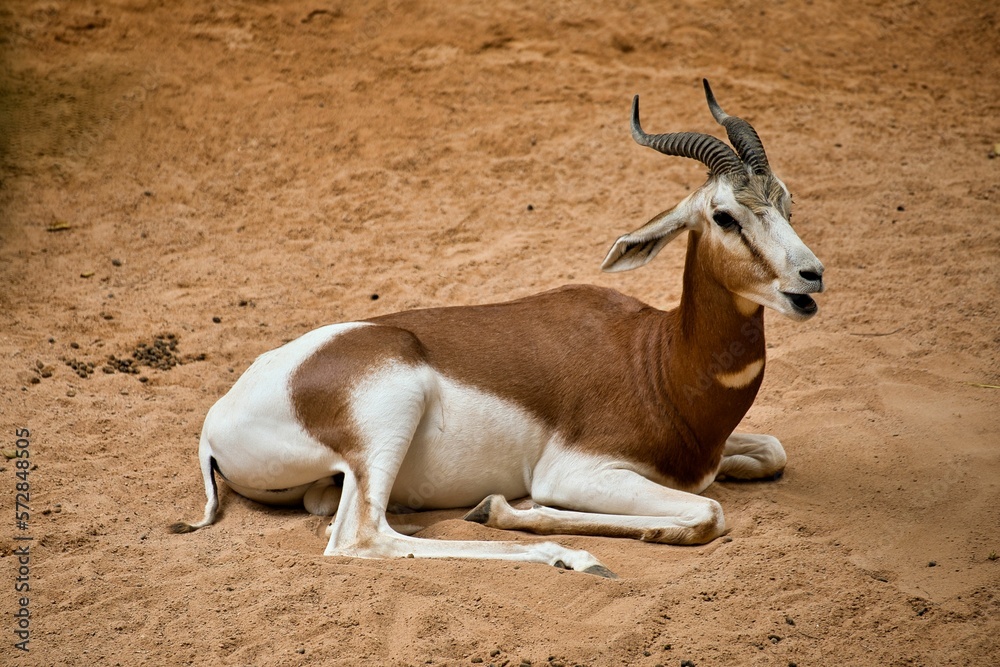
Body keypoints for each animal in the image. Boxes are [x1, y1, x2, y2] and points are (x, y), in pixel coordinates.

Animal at [172, 80, 824, 578]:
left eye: (786, 201)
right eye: (725, 215)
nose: (811, 277)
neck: (658, 361)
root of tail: (215, 421)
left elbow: (772, 451)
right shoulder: (577, 472)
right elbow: (705, 513)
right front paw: (506, 509)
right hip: (388, 420)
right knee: (361, 538)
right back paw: (570, 556)